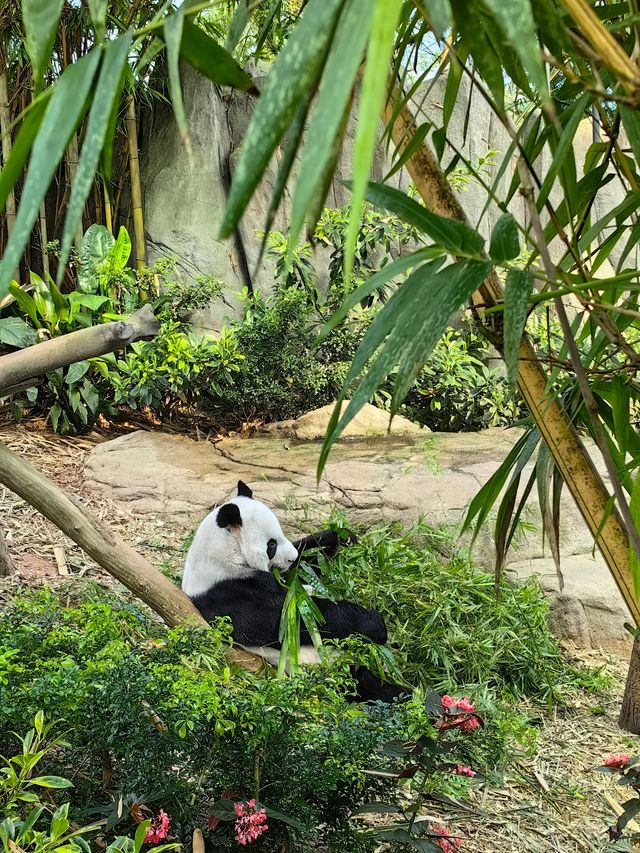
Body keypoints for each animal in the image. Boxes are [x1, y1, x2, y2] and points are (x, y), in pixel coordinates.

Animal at [182, 480, 408, 700]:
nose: (291, 558)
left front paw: (341, 537)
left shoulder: (282, 575)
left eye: (281, 533)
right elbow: (294, 619)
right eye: (271, 545)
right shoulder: (233, 595)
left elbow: (304, 566)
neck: (223, 555)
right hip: (331, 667)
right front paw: (375, 623)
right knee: (371, 686)